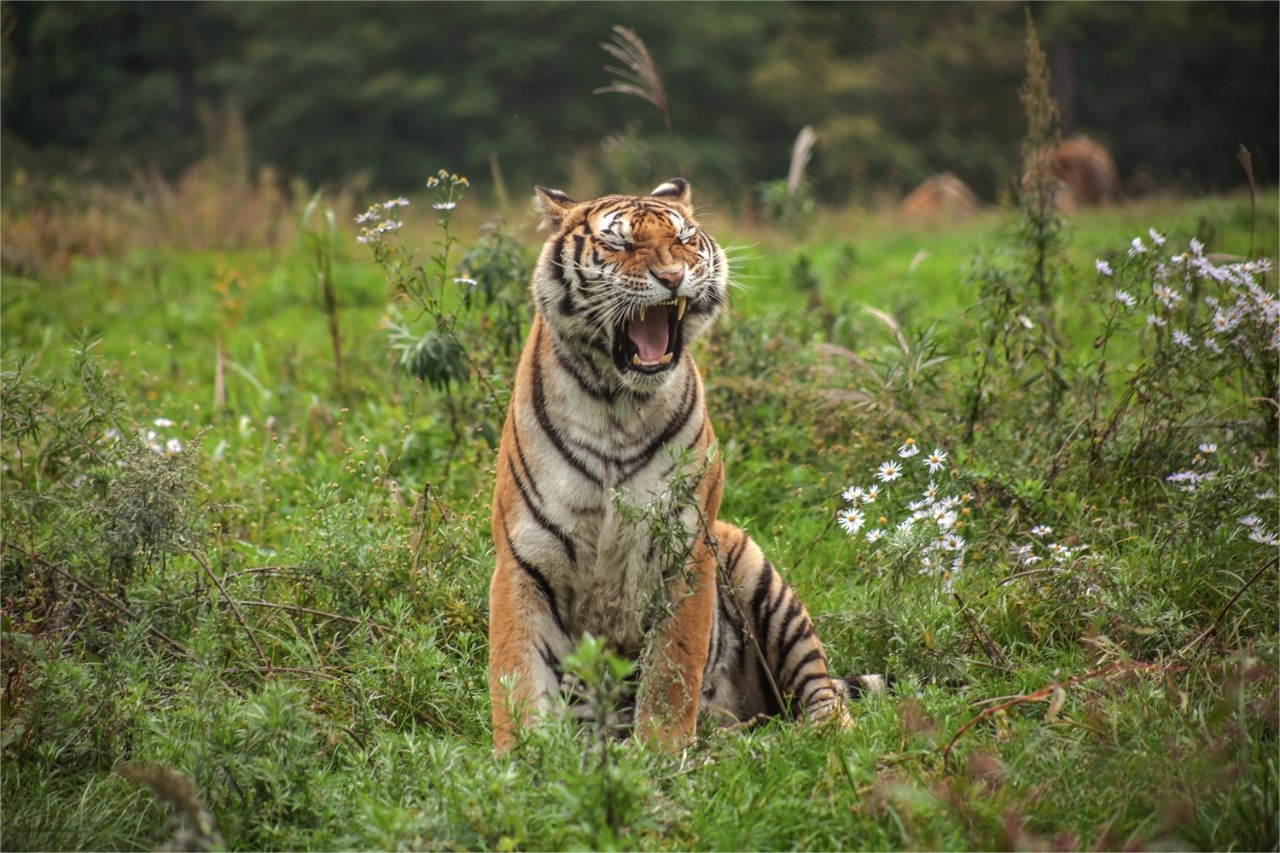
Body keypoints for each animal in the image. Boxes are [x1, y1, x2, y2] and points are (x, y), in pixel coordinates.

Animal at [483, 175, 875, 747]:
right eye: (619, 244)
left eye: (685, 240)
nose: (671, 278)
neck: (616, 403)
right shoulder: (524, 558)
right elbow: (517, 675)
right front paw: (525, 756)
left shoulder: (685, 552)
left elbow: (671, 671)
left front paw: (661, 754)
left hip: (757, 571)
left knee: (822, 692)